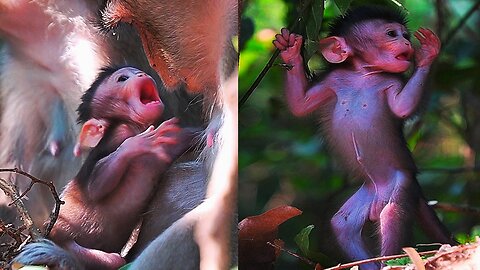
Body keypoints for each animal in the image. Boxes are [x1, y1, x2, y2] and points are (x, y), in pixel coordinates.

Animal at [44, 66, 195, 270]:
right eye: (122, 78)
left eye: (136, 71)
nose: (142, 74)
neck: (138, 126)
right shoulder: (120, 133)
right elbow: (94, 188)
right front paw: (138, 143)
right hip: (61, 239)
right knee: (112, 259)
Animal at [276, 4, 456, 270]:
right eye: (392, 34)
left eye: (405, 34)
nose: (406, 42)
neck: (364, 74)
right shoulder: (334, 80)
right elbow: (300, 105)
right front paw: (289, 52)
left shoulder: (392, 82)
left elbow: (402, 108)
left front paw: (428, 53)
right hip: (368, 192)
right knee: (341, 225)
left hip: (402, 183)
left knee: (392, 213)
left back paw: (391, 260)